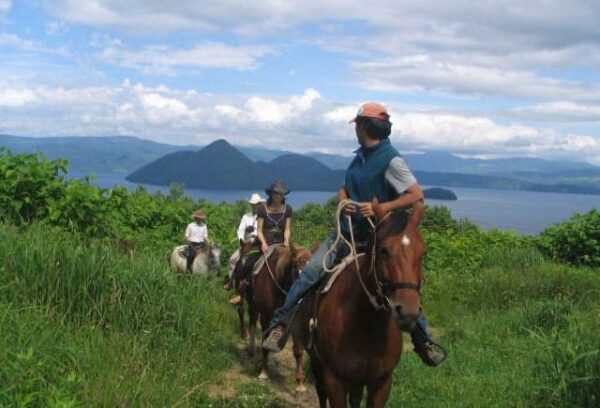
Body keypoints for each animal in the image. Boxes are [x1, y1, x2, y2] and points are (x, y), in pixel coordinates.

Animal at [232, 242, 312, 388]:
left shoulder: (295, 318)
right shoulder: (266, 317)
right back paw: (246, 339)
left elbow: (298, 350)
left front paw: (300, 382)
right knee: (242, 312)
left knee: (252, 319)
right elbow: (264, 344)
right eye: (297, 270)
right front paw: (263, 373)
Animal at [292, 199, 426, 406]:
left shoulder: (381, 382)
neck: (367, 322)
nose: (408, 312)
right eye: (384, 251)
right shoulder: (335, 381)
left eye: (422, 253)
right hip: (317, 361)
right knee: (321, 393)